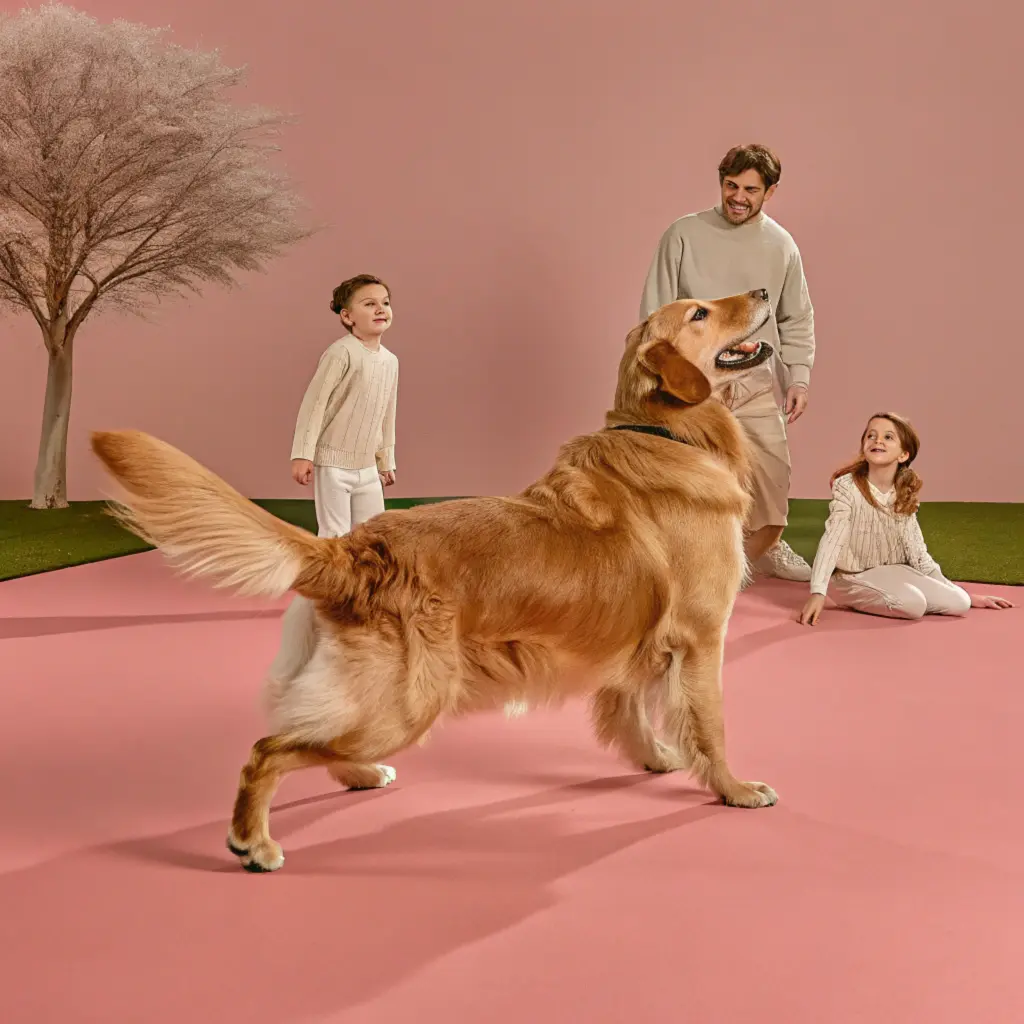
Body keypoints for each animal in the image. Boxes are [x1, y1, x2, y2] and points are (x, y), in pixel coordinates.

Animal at [90, 288, 774, 872]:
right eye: (700, 311)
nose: (766, 292)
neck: (666, 431)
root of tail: (349, 547)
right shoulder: (701, 636)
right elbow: (710, 724)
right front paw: (734, 788)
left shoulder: (633, 636)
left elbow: (632, 706)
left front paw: (653, 757)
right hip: (407, 703)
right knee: (268, 751)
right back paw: (253, 841)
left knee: (315, 739)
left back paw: (361, 775)